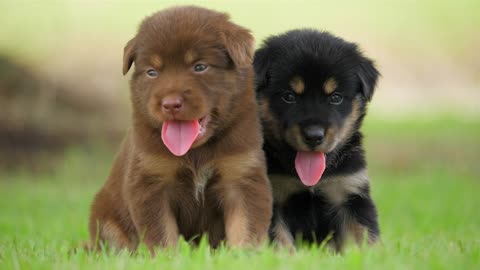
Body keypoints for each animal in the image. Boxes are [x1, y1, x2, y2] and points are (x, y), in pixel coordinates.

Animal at [87, 5, 272, 251]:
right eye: (152, 72)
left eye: (200, 67)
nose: (170, 104)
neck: (196, 152)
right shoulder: (151, 180)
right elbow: (161, 235)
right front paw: (166, 256)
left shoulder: (241, 175)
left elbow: (245, 227)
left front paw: (244, 255)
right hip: (106, 218)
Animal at [253, 28, 380, 252]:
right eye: (289, 96)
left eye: (336, 97)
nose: (314, 135)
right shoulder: (272, 197)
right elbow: (280, 240)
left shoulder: (351, 193)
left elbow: (364, 235)